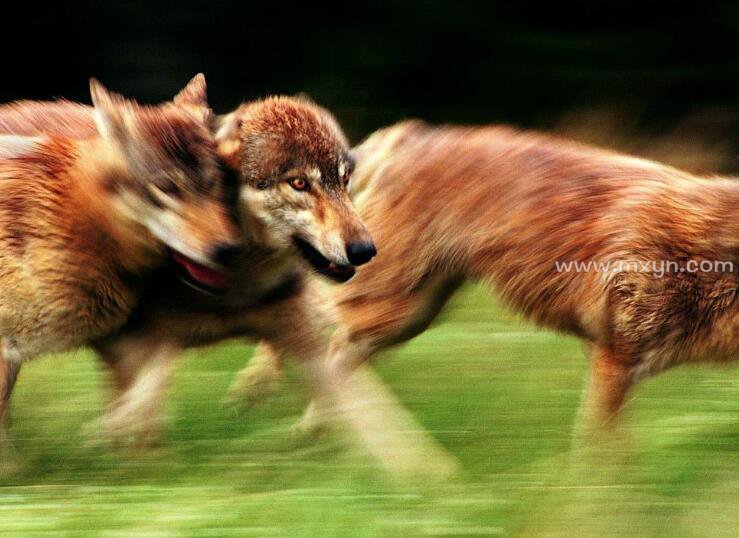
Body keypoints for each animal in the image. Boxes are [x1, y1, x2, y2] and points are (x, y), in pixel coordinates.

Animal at [234, 119, 739, 434]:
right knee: (310, 315)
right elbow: (599, 459)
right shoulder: (614, 359)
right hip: (389, 307)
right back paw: (262, 394)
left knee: (333, 348)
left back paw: (313, 426)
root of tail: (413, 133)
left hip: (404, 318)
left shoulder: (619, 365)